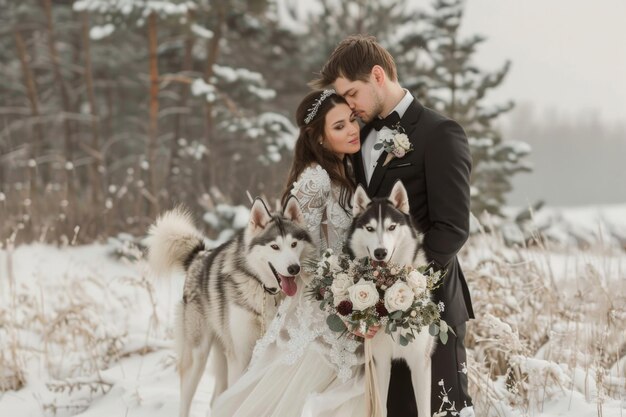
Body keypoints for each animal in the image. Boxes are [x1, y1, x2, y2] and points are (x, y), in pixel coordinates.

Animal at [146, 197, 312, 416]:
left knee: (216, 399)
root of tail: (198, 256)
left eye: (294, 244)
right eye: (275, 246)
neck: (264, 290)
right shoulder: (239, 355)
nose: (294, 268)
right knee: (187, 399)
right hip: (198, 355)